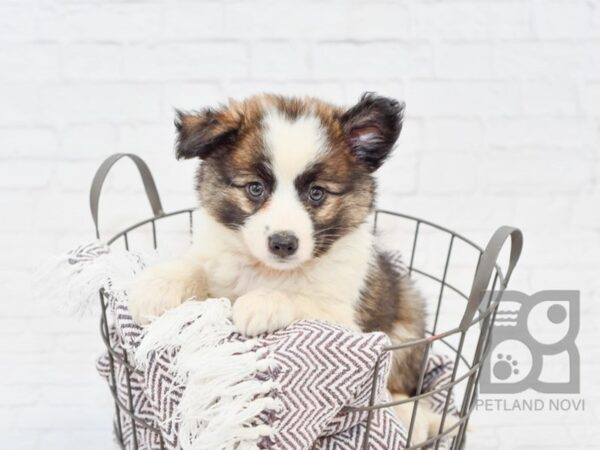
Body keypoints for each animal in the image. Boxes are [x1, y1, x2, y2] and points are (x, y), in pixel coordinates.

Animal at [129, 93, 452, 444]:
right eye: (255, 188)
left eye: (317, 193)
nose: (283, 244)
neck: (269, 270)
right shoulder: (219, 266)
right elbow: (197, 268)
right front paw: (156, 287)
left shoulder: (342, 317)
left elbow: (300, 299)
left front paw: (261, 303)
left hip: (407, 322)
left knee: (402, 388)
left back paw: (411, 421)